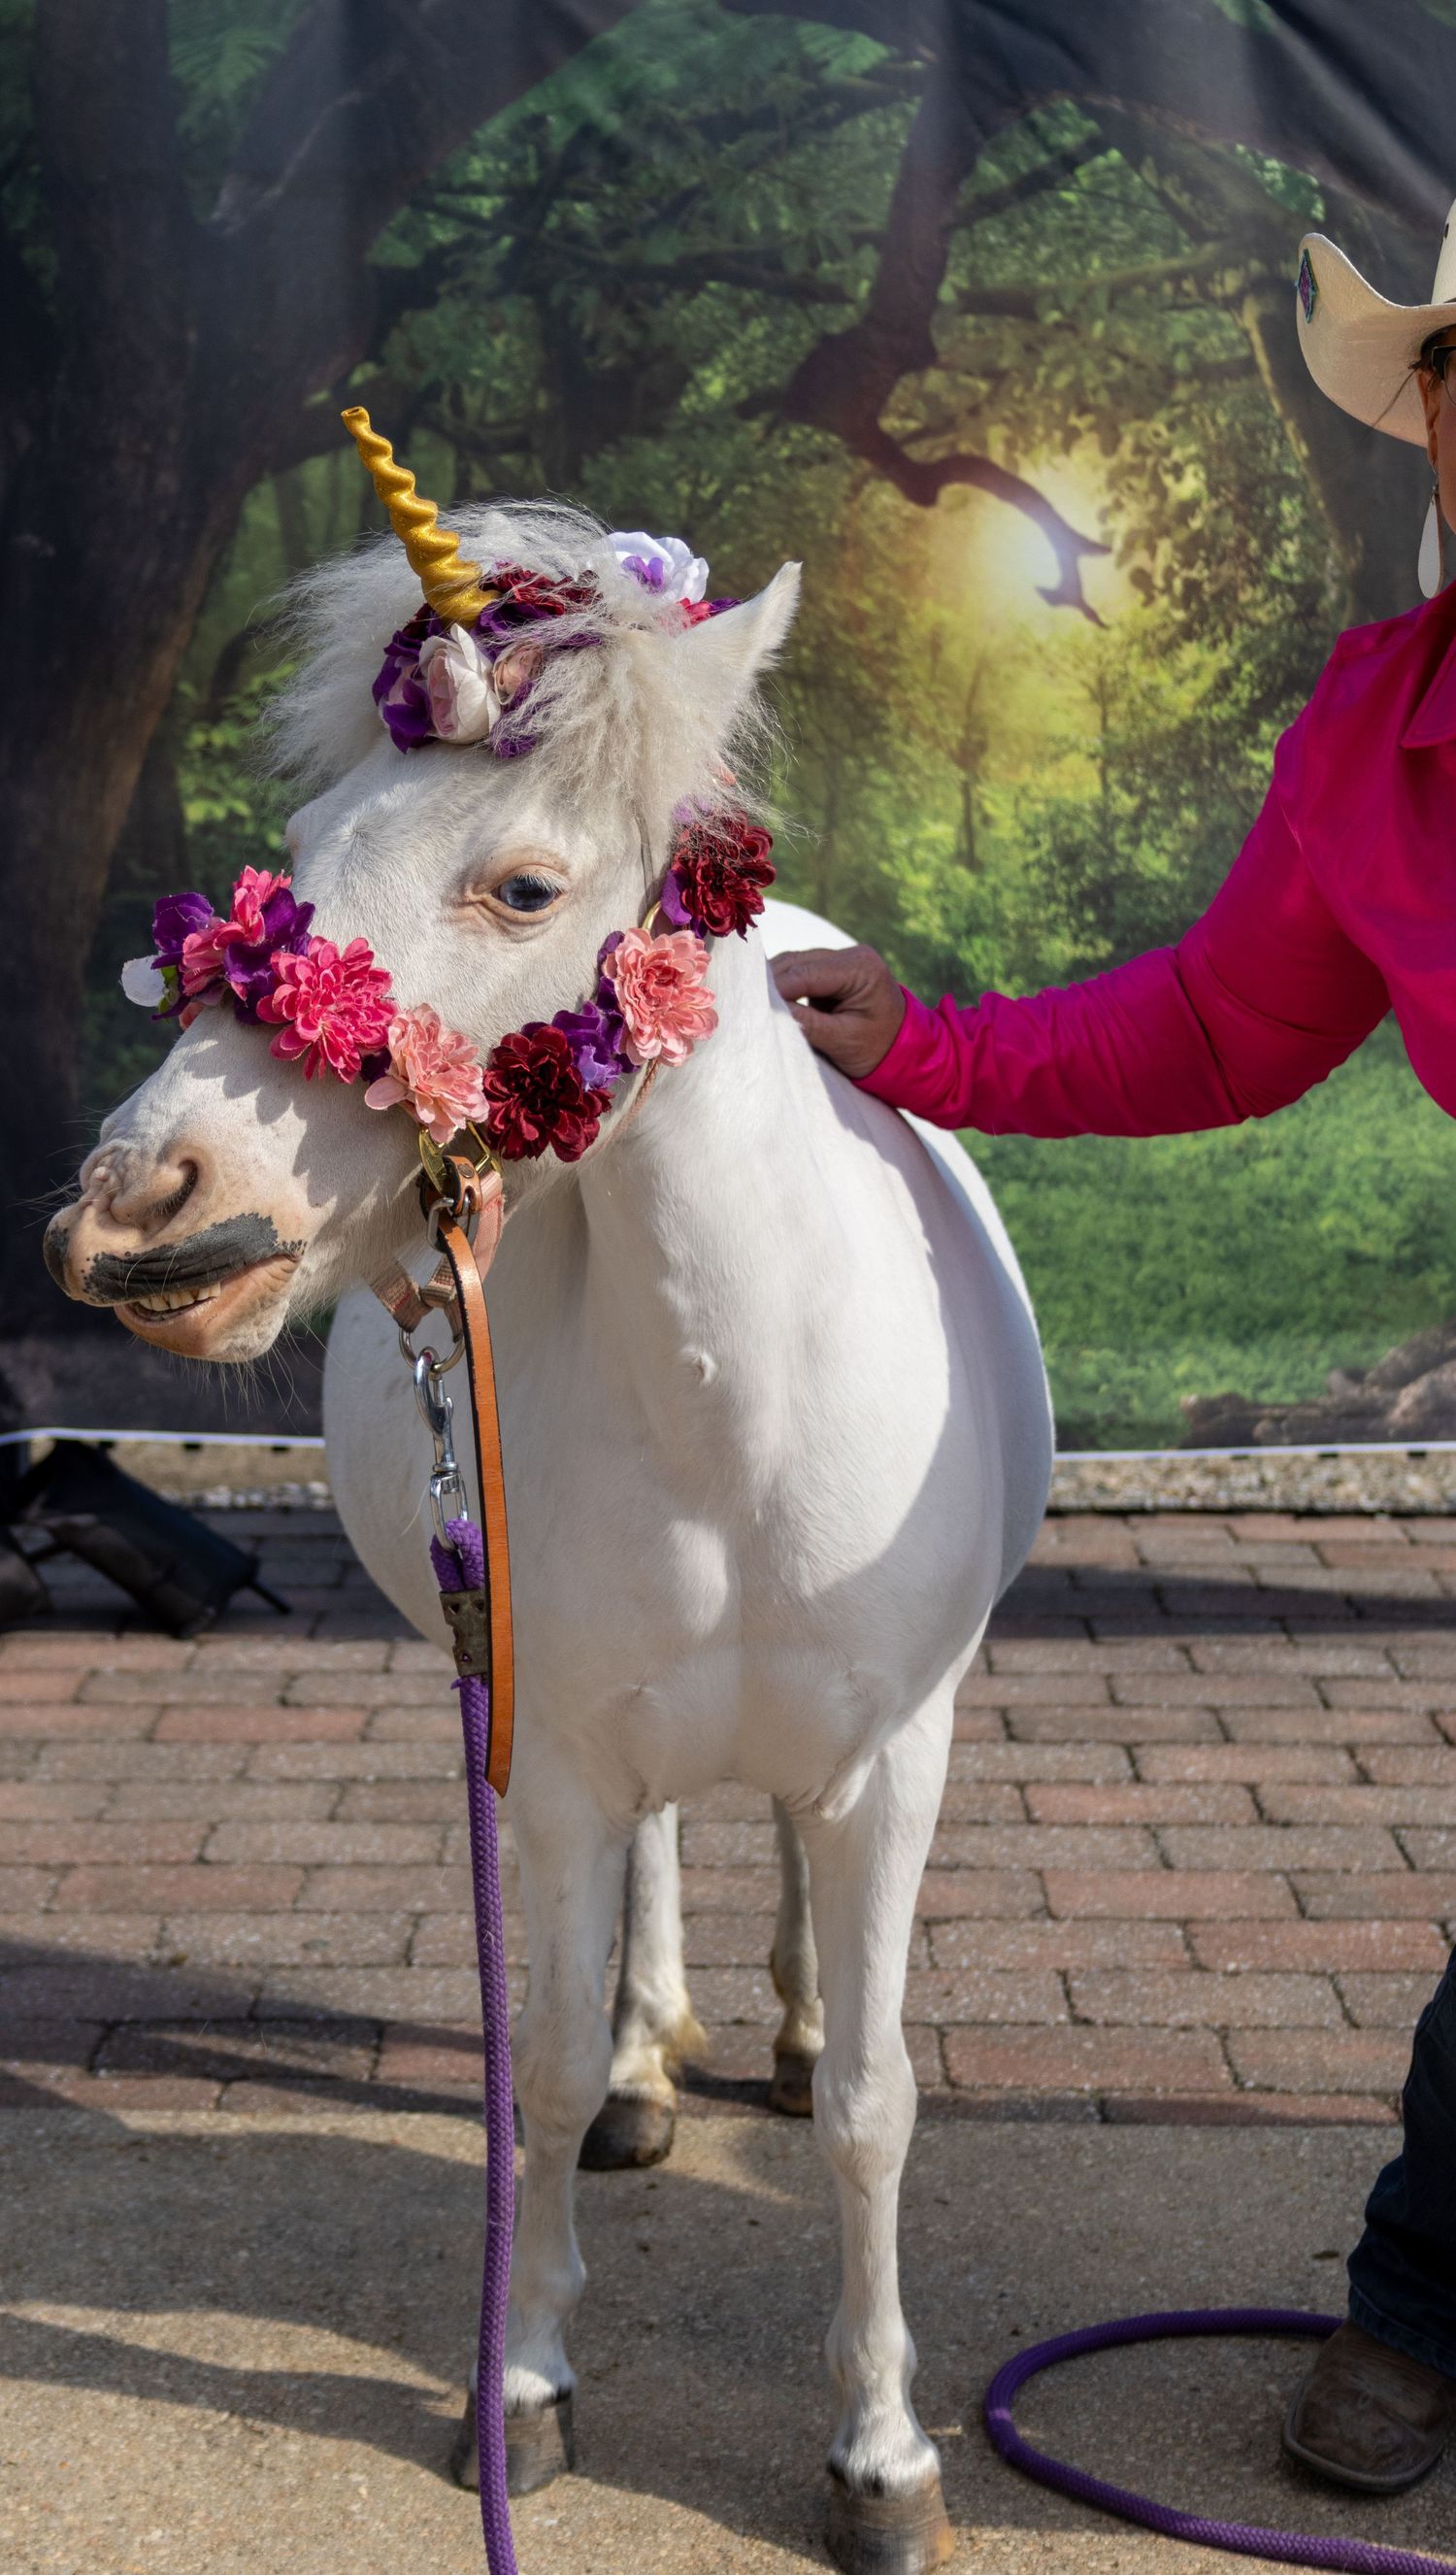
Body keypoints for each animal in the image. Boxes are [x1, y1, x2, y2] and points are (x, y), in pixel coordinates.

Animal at [45, 496, 1052, 2572]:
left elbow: (876, 2107)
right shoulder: (559, 1757)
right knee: (659, 1880)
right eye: (295, 857)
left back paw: (774, 2031)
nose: (140, 1210)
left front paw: (882, 2455)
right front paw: (521, 2385)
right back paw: (665, 2061)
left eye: (522, 886)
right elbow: (549, 2058)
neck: (743, 1394)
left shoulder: (890, 1764)